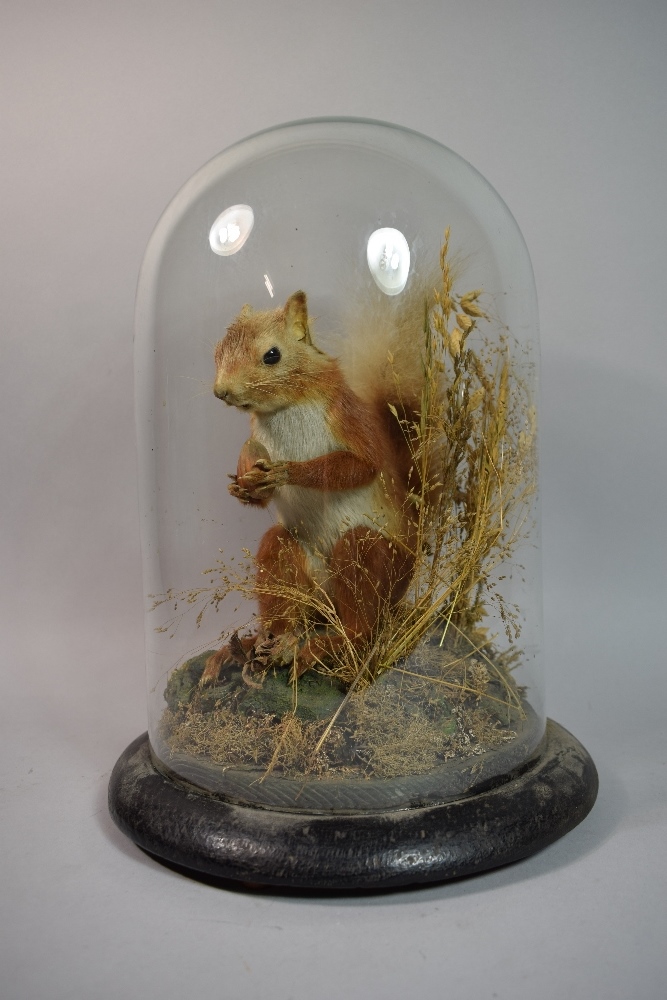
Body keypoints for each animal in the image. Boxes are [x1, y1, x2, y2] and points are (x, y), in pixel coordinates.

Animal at [201, 286, 430, 684]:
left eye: (272, 355)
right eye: (218, 350)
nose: (222, 392)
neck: (284, 409)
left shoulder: (350, 421)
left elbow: (361, 466)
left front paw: (288, 472)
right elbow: (254, 471)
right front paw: (245, 484)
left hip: (372, 561)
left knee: (361, 623)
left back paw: (324, 647)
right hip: (293, 566)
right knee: (284, 585)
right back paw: (260, 644)